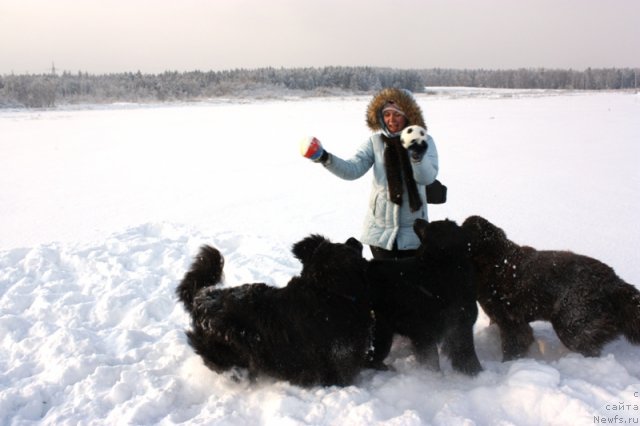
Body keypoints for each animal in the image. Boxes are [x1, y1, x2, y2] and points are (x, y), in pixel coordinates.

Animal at [368, 218, 482, 374]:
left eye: (429, 227)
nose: (417, 219)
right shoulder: (425, 334)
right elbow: (433, 362)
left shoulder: (460, 325)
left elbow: (466, 354)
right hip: (382, 332)